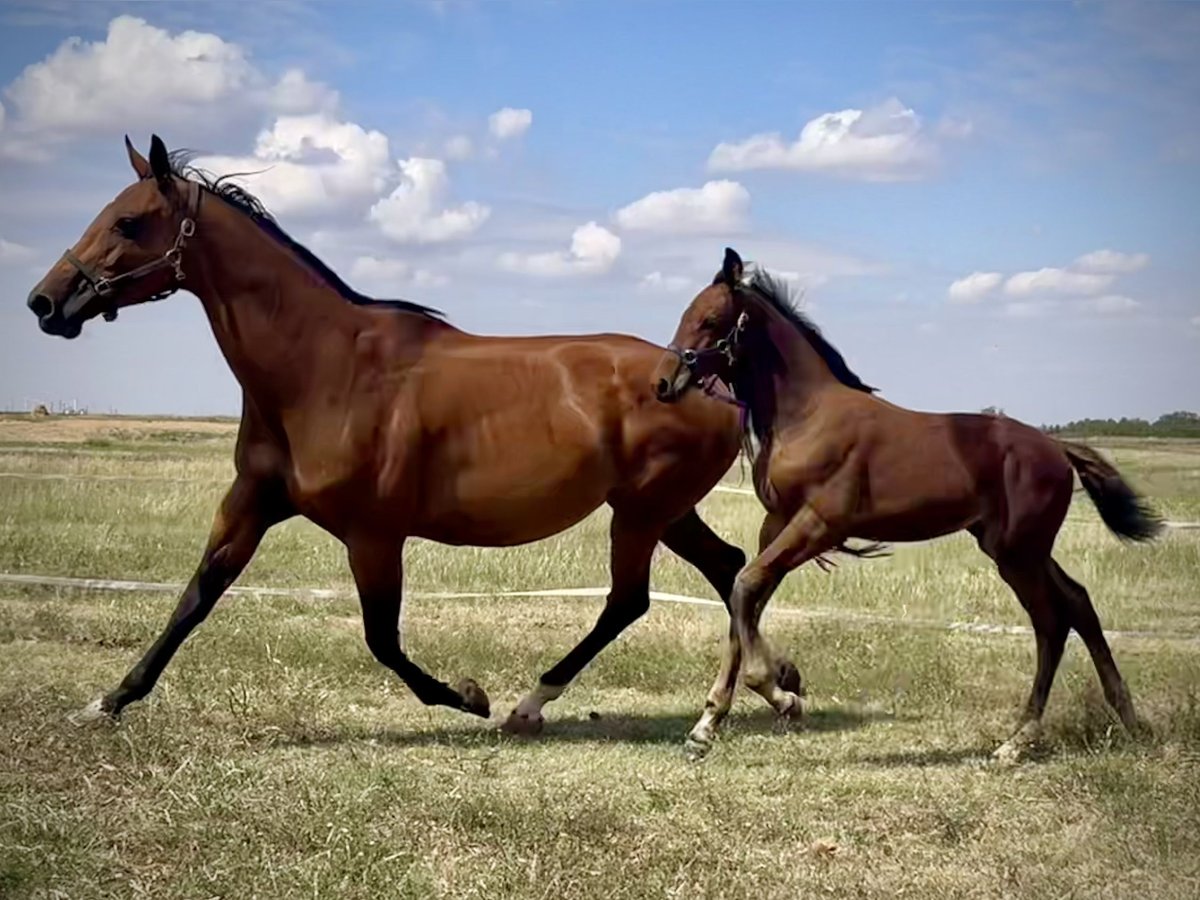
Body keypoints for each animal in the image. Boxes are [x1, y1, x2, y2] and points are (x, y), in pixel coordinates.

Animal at [23, 137, 811, 734]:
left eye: (129, 223)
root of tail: (706, 380)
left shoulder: (373, 533)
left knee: (632, 601)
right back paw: (778, 685)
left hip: (641, 511)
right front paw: (108, 700)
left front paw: (468, 696)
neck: (323, 369)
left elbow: (382, 639)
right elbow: (197, 594)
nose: (44, 302)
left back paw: (530, 704)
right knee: (728, 568)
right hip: (663, 510)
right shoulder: (253, 502)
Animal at [657, 247, 1161, 763]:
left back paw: (1020, 738)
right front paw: (707, 724)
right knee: (1076, 603)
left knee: (1051, 620)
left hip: (1019, 553)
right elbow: (745, 599)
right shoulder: (776, 522)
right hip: (1015, 548)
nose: (665, 383)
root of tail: (1058, 448)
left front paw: (784, 697)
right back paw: (1124, 720)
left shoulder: (820, 524)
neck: (807, 416)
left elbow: (744, 587)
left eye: (711, 319)